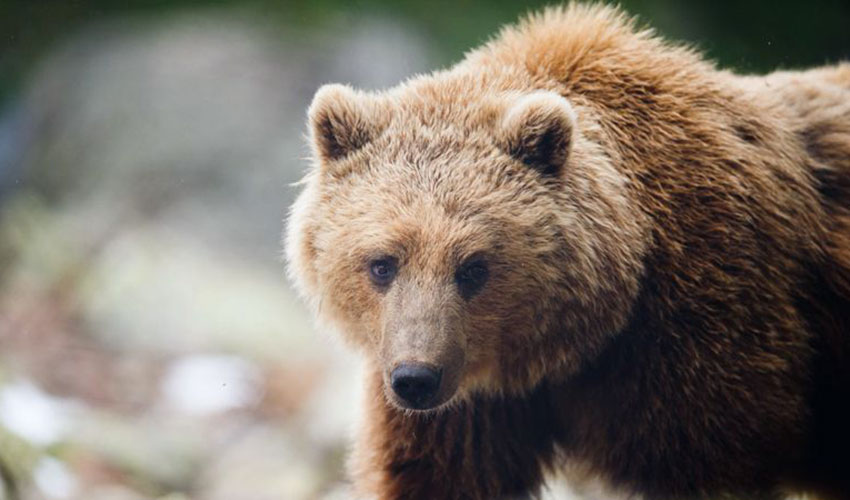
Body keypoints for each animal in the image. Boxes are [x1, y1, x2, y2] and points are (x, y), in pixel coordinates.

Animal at [286, 4, 848, 500]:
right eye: (382, 263)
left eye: (474, 268)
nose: (415, 379)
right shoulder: (468, 403)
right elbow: (438, 474)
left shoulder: (704, 332)